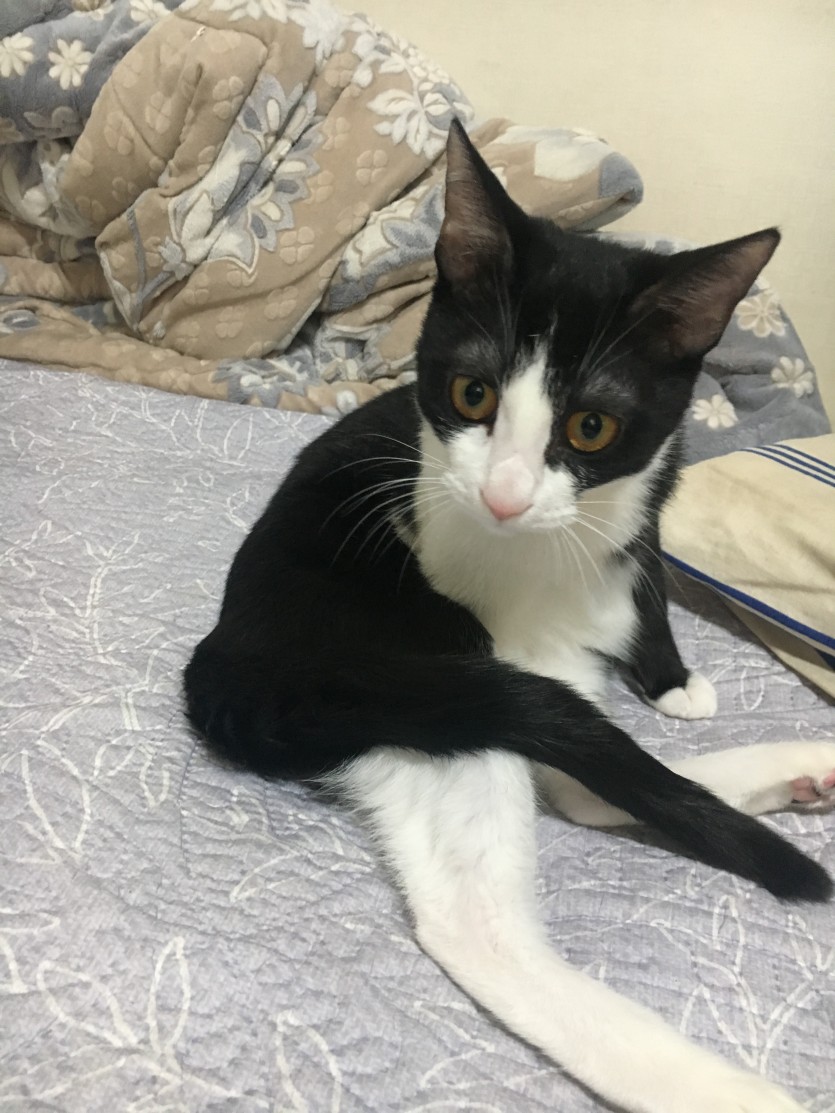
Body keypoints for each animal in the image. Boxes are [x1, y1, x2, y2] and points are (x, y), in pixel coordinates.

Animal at [184, 120, 835, 1113]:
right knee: (487, 907)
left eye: (591, 428)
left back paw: (804, 769)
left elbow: (646, 589)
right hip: (420, 663)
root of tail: (229, 661)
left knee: (582, 779)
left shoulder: (647, 513)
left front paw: (670, 675)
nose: (502, 496)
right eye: (472, 395)